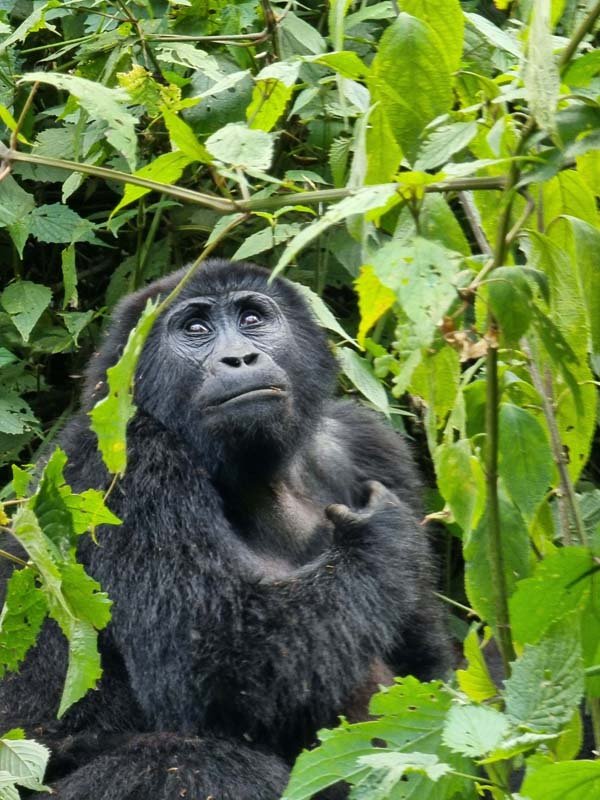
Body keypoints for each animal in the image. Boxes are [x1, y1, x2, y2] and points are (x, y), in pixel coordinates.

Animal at [0, 260, 448, 796]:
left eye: (253, 318)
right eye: (196, 329)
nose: (240, 358)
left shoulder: (372, 444)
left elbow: (428, 677)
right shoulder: (125, 462)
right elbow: (216, 665)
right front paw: (377, 536)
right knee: (193, 763)